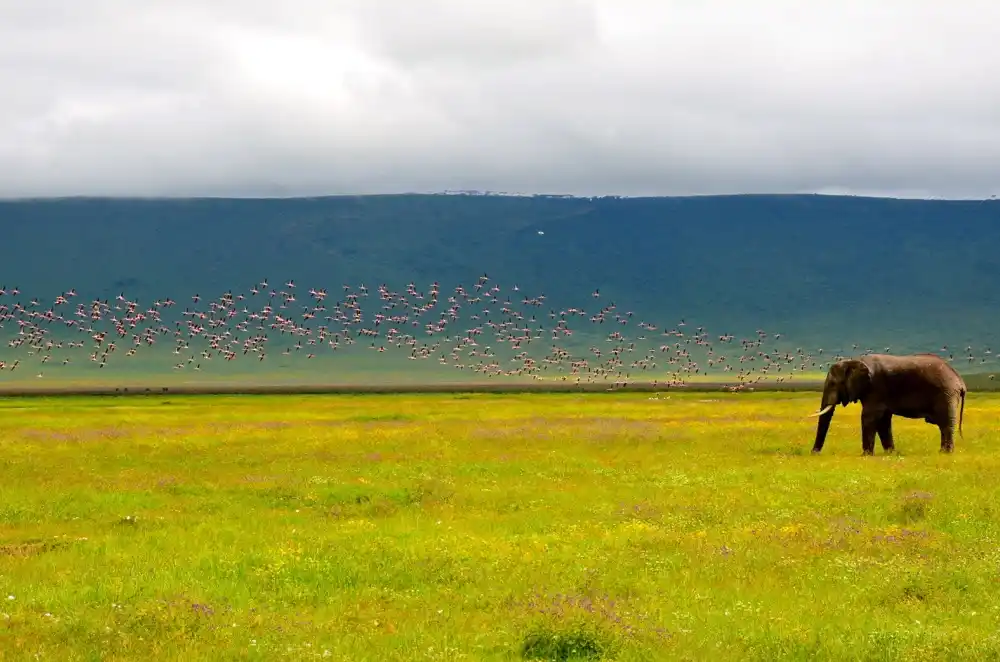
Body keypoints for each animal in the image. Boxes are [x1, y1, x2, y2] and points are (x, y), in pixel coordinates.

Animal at [808, 353, 967, 455]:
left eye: (833, 384)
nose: (814, 453)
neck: (853, 361)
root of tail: (960, 381)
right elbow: (883, 421)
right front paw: (891, 453)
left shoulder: (875, 388)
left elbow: (869, 417)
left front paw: (866, 455)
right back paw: (943, 451)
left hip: (946, 393)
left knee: (946, 423)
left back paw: (945, 452)